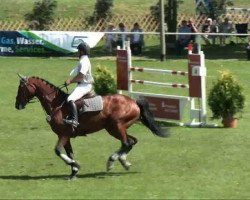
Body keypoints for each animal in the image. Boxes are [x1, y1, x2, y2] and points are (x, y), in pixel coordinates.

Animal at [14, 74, 169, 179]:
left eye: (21, 88)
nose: (17, 105)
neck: (56, 104)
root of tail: (133, 102)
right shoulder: (66, 136)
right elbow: (69, 152)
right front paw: (74, 171)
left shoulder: (63, 135)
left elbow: (58, 151)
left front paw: (75, 165)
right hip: (115, 128)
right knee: (131, 141)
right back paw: (124, 162)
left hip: (116, 127)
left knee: (126, 143)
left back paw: (112, 161)